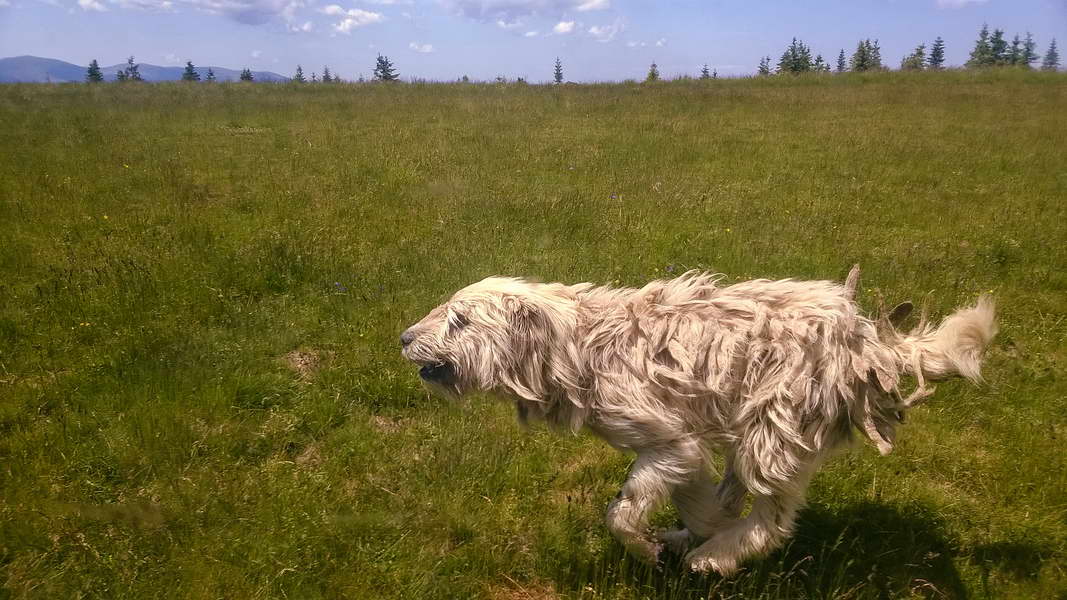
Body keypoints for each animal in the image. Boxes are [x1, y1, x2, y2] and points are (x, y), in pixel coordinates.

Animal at [400, 266, 996, 575]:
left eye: (459, 320)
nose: (403, 337)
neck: (581, 345)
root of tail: (872, 347)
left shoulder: (667, 442)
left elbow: (622, 514)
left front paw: (649, 550)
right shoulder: (680, 452)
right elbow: (695, 497)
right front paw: (686, 530)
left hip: (774, 430)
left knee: (773, 520)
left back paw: (712, 558)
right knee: (741, 497)